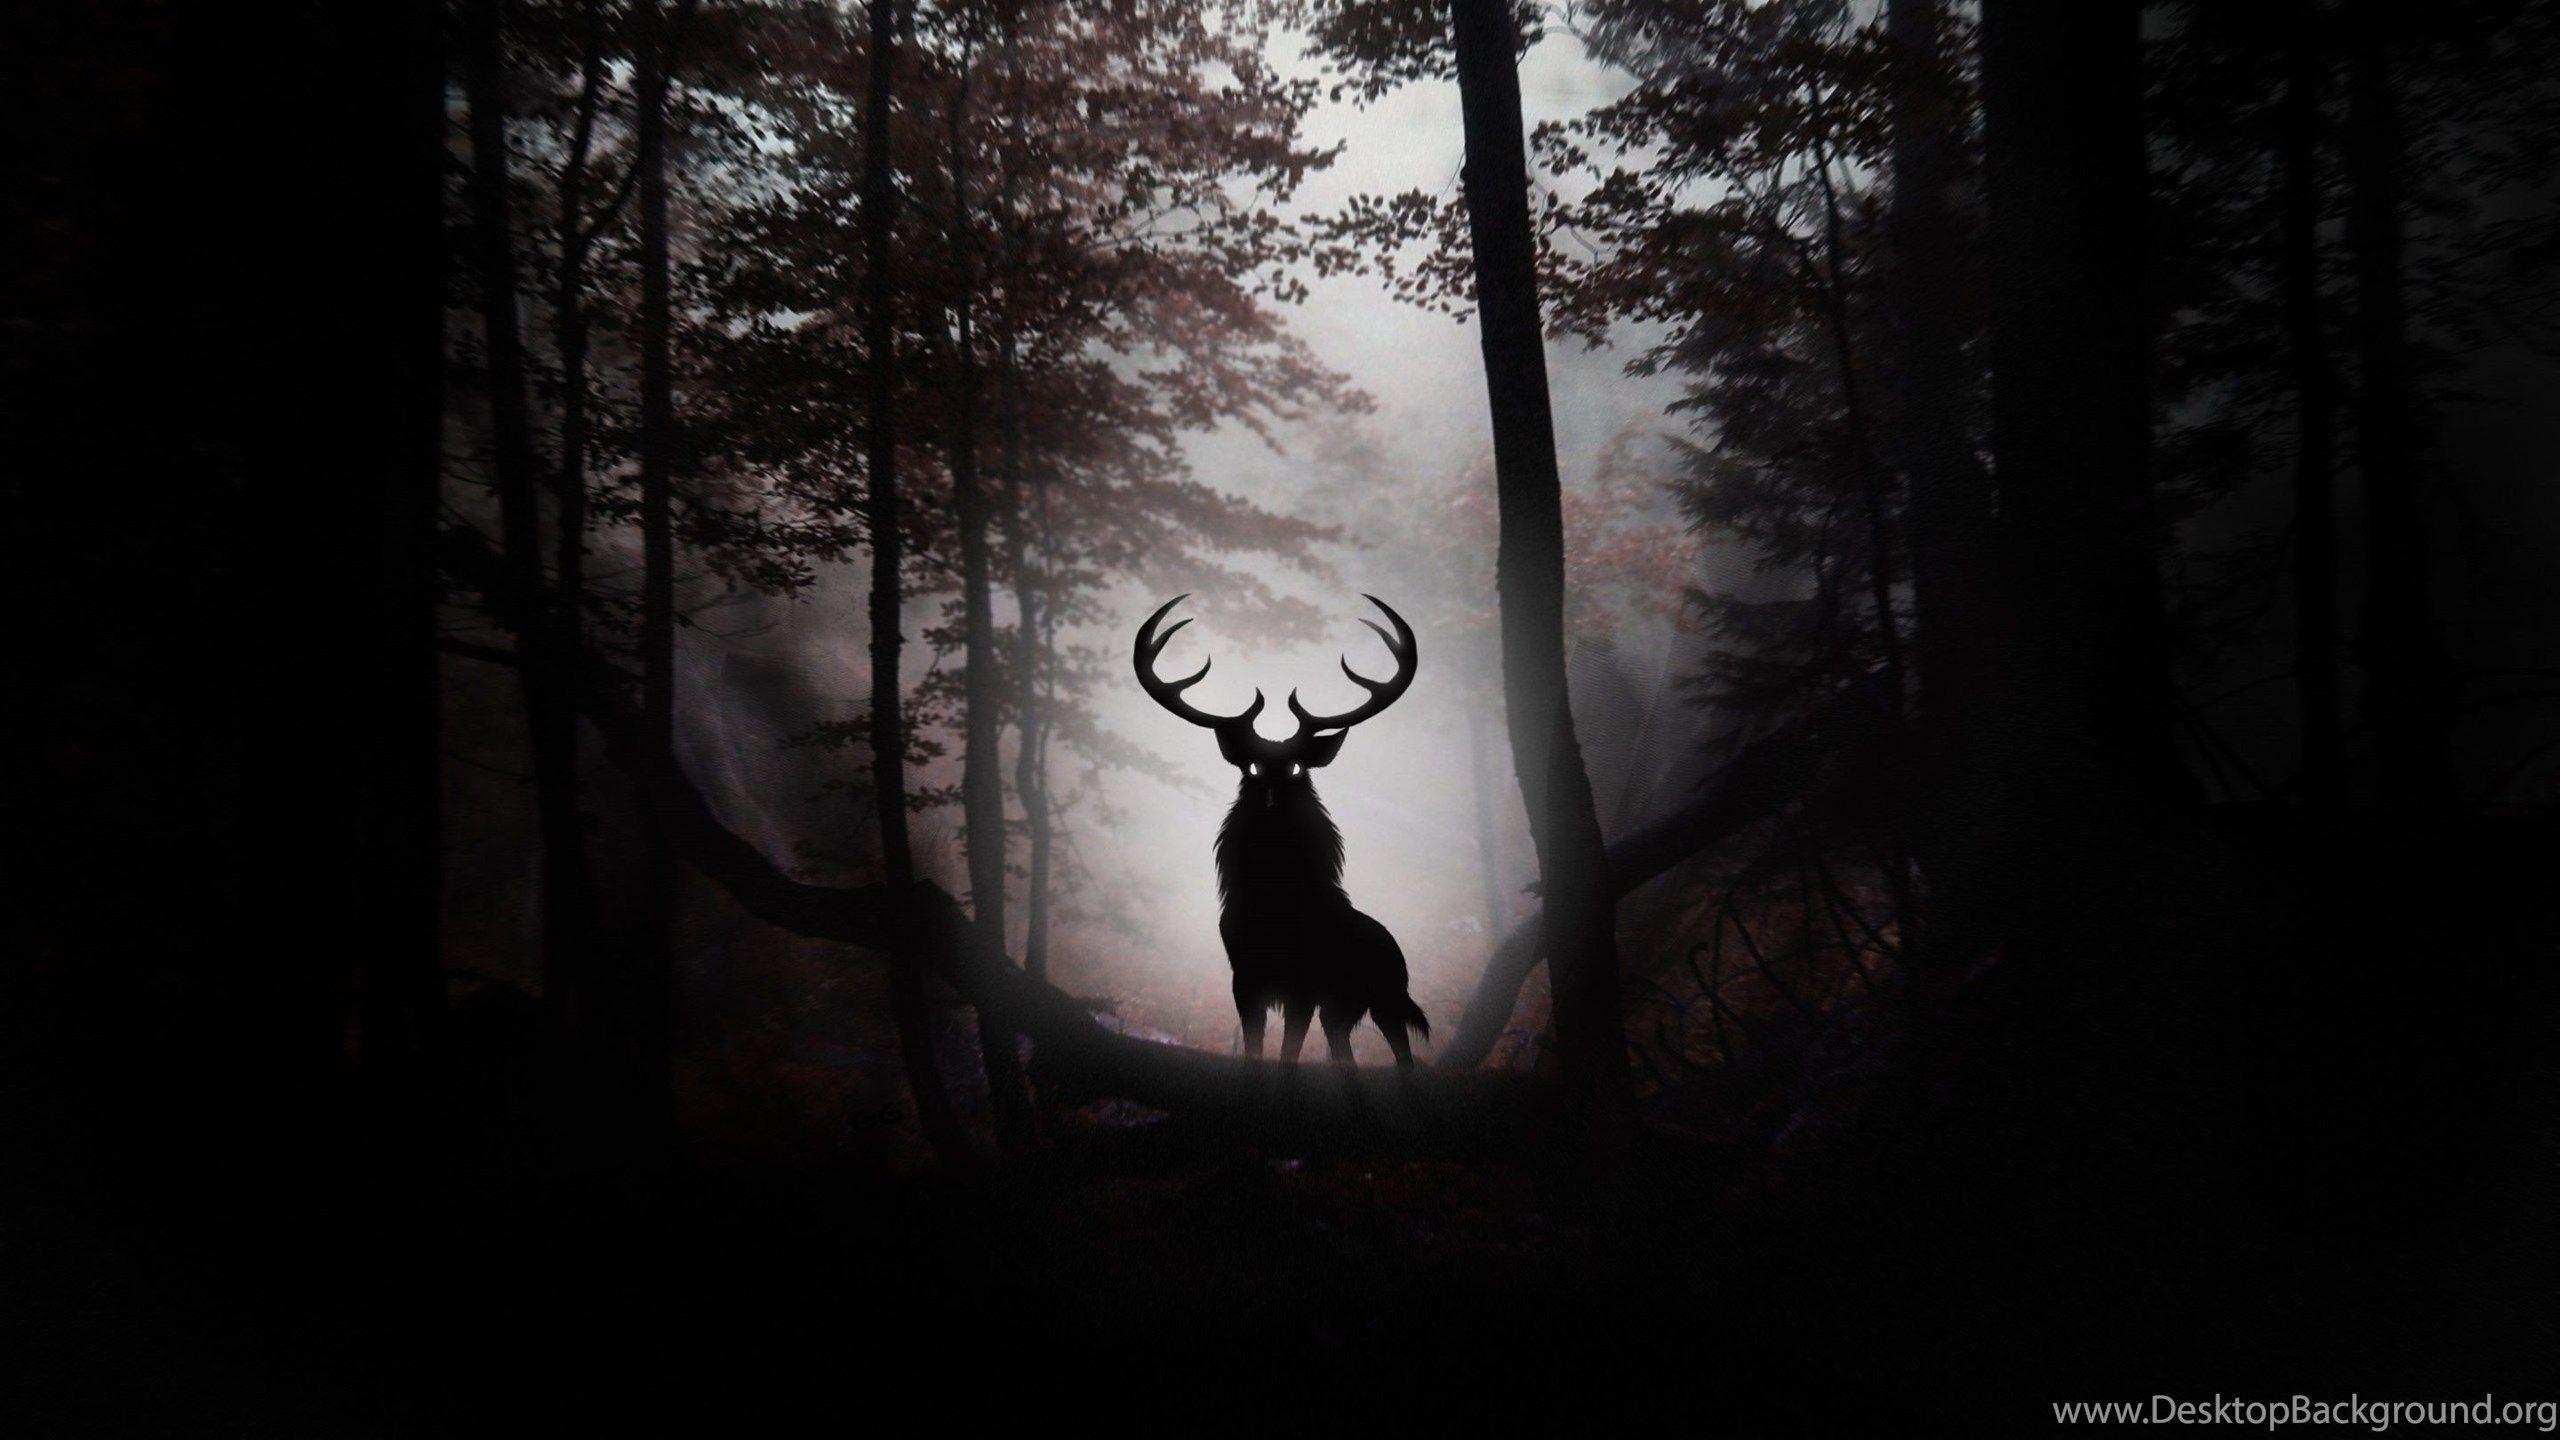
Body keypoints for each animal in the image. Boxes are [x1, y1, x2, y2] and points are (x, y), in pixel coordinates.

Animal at [1134, 594, 1430, 1069]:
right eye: (1252, 767)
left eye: (1295, 767)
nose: (1273, 798)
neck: (1274, 906)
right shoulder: (1244, 979)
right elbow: (1255, 1049)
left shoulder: (1304, 986)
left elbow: (1289, 1055)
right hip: (1343, 1010)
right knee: (1345, 1054)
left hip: (1385, 998)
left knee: (1402, 1055)